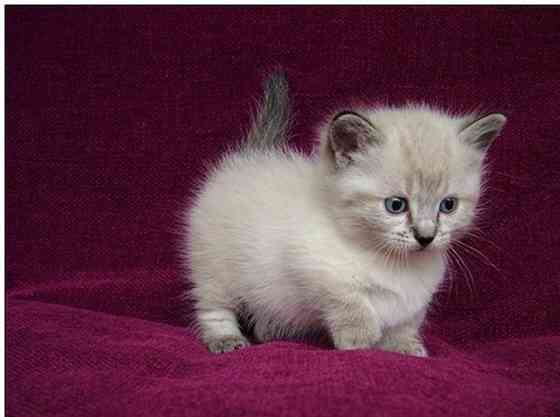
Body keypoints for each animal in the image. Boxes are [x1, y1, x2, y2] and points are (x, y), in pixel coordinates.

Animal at [185, 70, 508, 354]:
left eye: (448, 205)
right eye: (396, 205)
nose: (426, 237)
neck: (395, 264)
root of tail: (247, 156)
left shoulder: (415, 299)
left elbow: (405, 322)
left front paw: (405, 347)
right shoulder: (312, 267)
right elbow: (351, 303)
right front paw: (360, 341)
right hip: (214, 270)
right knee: (213, 307)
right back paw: (226, 340)